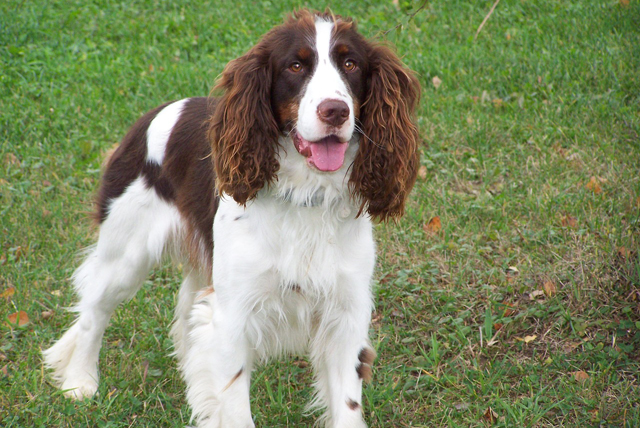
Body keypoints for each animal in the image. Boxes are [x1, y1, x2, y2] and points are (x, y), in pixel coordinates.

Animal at [45, 10, 422, 428]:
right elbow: (236, 404)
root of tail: (153, 115)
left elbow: (346, 406)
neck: (306, 195)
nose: (335, 111)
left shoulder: (346, 315)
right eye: (295, 66)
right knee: (94, 310)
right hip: (125, 254)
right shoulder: (234, 317)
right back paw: (80, 381)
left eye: (351, 64)